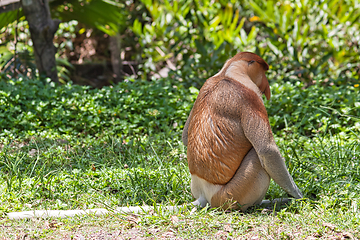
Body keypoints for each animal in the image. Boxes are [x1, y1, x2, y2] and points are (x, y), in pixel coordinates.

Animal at [181, 52, 302, 210]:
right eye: (264, 72)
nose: (266, 85)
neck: (228, 73)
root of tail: (204, 195)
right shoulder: (251, 97)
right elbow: (267, 150)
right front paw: (299, 196)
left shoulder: (205, 84)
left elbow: (185, 136)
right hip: (233, 194)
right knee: (257, 156)